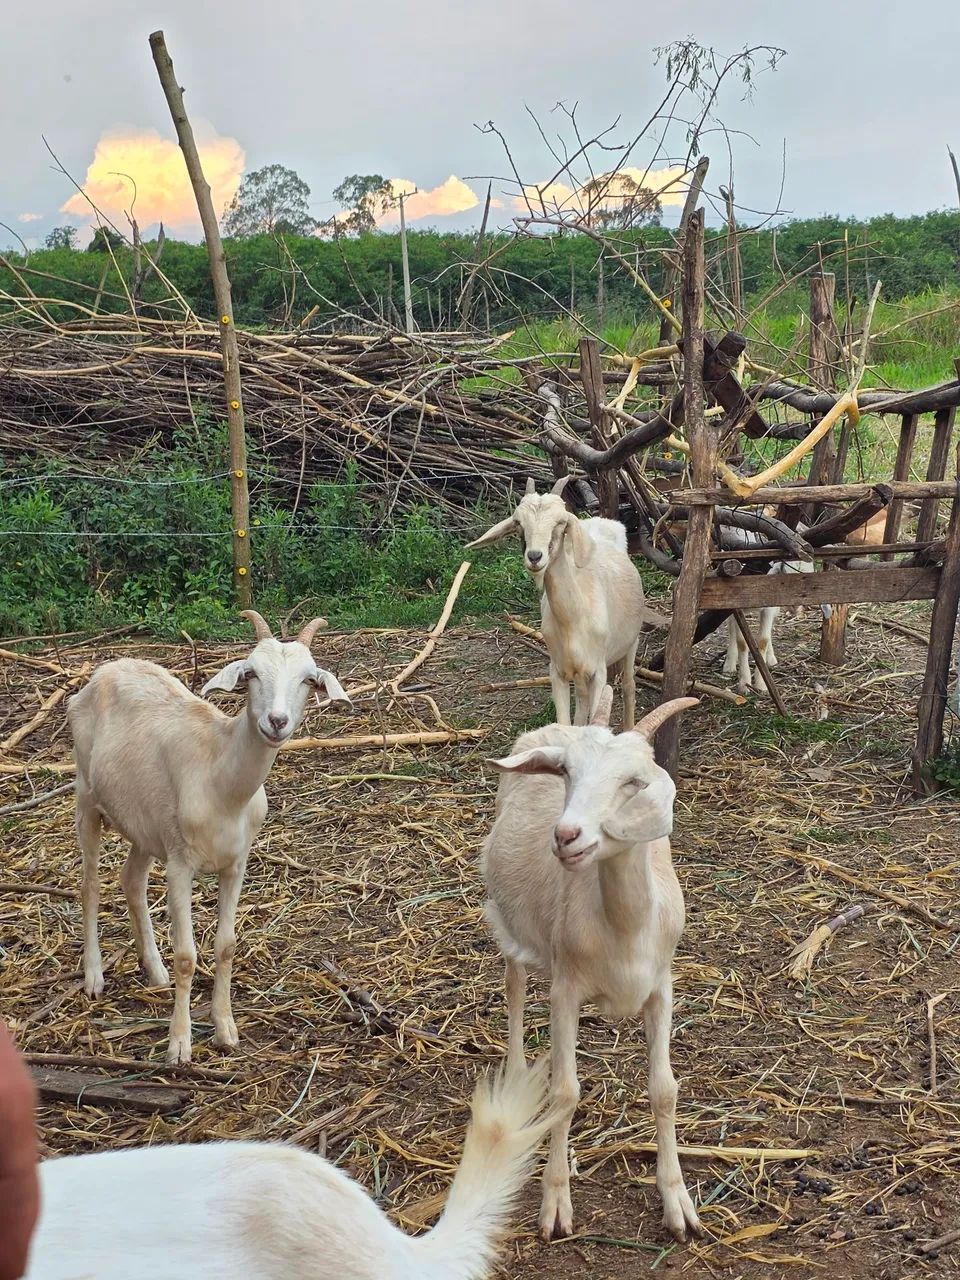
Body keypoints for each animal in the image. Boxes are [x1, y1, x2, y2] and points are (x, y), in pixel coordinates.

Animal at [69, 611, 349, 1064]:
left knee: (131, 879)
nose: (276, 722)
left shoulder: (235, 864)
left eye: (309, 679)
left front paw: (225, 1029)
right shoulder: (181, 865)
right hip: (86, 797)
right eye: (250, 673)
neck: (220, 775)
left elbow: (226, 946)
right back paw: (94, 975)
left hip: (146, 825)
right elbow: (187, 955)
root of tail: (106, 670)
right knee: (90, 884)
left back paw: (155, 970)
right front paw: (179, 1044)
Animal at [467, 477, 664, 729]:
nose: (534, 557)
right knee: (582, 700)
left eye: (560, 522)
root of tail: (604, 523)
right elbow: (564, 722)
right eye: (518, 522)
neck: (574, 618)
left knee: (629, 685)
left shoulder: (598, 670)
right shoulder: (558, 670)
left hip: (631, 642)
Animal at [480, 689, 702, 1242]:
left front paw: (678, 1202)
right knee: (514, 984)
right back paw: (517, 1067)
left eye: (633, 782)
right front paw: (556, 1200)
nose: (566, 836)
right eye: (566, 773)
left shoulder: (661, 988)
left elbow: (664, 1090)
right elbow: (565, 1092)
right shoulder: (567, 990)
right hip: (508, 919)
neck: (622, 930)